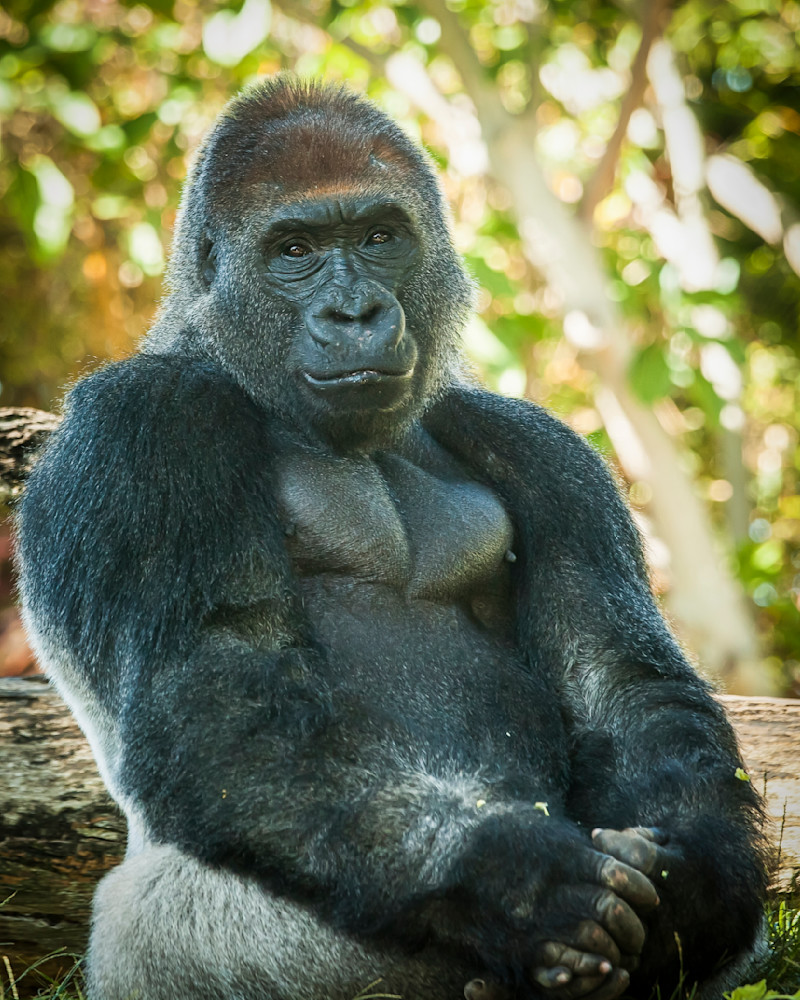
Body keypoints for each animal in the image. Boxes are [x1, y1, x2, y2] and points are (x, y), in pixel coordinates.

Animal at [16, 77, 767, 1000]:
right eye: (295, 249)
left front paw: (688, 890)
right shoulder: (141, 425)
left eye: (379, 238)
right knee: (159, 912)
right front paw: (514, 877)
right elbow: (220, 697)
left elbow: (622, 685)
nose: (357, 312)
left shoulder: (550, 452)